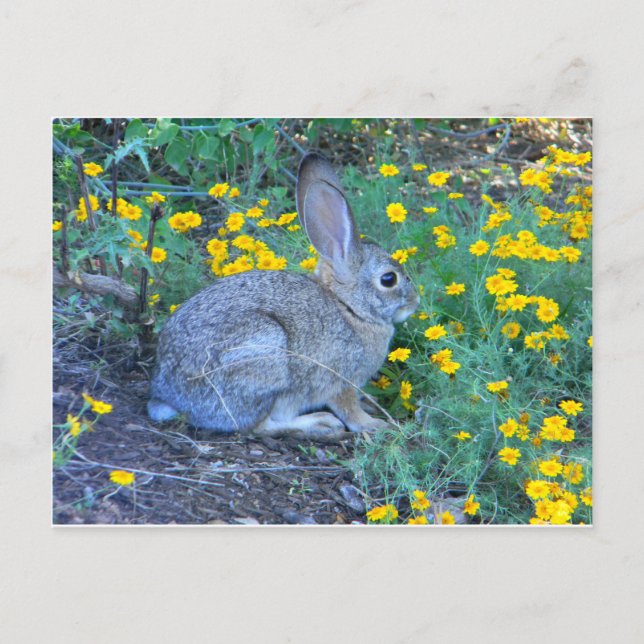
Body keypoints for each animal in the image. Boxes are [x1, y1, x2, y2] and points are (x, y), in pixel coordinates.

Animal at [147, 152, 419, 440]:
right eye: (388, 279)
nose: (415, 302)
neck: (349, 308)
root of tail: (169, 397)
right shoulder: (341, 379)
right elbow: (349, 409)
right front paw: (375, 425)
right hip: (264, 357)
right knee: (258, 426)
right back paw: (319, 423)